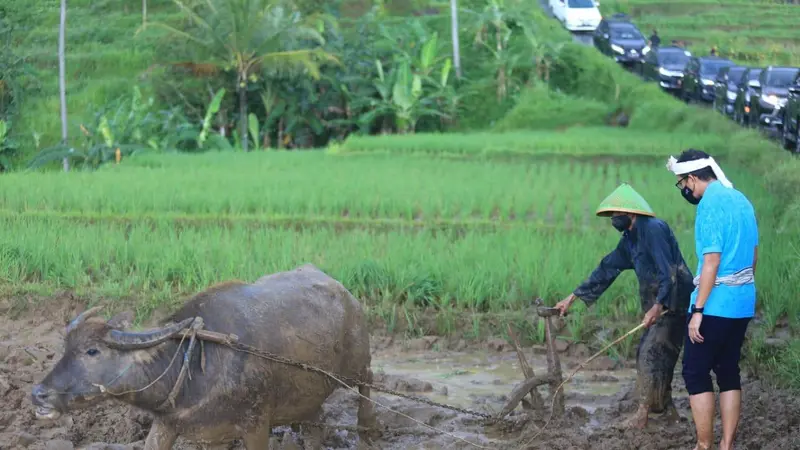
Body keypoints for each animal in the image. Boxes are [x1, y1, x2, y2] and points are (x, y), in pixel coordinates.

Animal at [30, 266, 378, 448]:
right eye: (65, 348)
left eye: (92, 351)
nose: (38, 394)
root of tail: (344, 292)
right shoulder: (170, 426)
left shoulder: (256, 425)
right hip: (308, 393)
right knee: (316, 419)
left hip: (356, 365)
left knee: (368, 383)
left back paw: (368, 430)